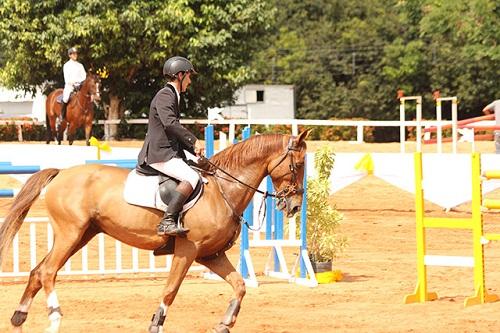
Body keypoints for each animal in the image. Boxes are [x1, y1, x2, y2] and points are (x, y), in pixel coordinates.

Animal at [0, 132, 308, 332]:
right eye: (299, 165)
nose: (293, 206)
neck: (222, 190)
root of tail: (62, 173)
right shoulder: (188, 250)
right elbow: (170, 290)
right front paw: (156, 324)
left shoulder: (210, 255)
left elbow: (240, 285)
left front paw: (224, 324)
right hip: (70, 234)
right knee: (47, 271)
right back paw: (55, 317)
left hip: (82, 235)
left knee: (37, 272)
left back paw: (19, 318)